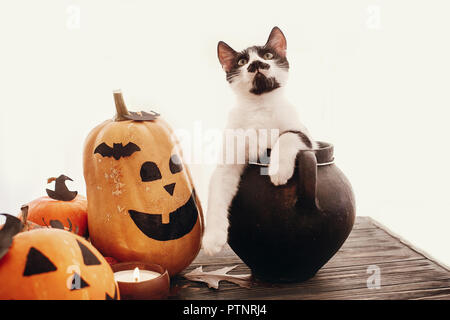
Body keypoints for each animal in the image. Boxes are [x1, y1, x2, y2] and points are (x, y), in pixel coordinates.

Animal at [202, 26, 318, 255]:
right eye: (241, 61)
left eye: (268, 56)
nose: (256, 64)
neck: (260, 108)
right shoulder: (228, 161)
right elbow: (217, 193)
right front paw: (212, 238)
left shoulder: (305, 136)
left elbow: (287, 136)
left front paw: (278, 170)